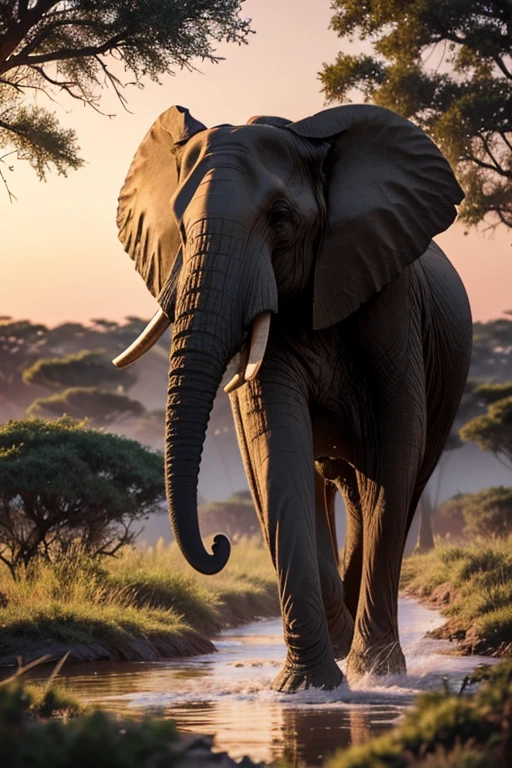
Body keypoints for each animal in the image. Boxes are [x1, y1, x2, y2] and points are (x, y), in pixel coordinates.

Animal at [114, 99, 474, 692]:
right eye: (180, 224)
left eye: (280, 218)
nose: (219, 544)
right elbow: (277, 449)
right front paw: (308, 687)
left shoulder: (391, 298)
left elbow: (394, 448)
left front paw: (377, 676)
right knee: (326, 483)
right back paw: (339, 629)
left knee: (390, 486)